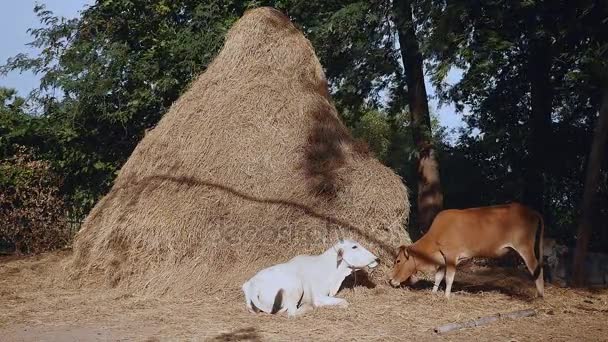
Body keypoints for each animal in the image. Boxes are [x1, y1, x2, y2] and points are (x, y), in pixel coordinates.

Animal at [242, 239, 380, 316]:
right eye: (354, 247)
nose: (377, 259)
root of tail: (252, 286)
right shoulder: (318, 297)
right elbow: (344, 302)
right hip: (296, 285)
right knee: (292, 313)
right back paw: (307, 307)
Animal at [390, 203, 548, 296]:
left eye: (398, 261)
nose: (391, 281)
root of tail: (531, 211)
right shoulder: (442, 259)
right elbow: (438, 276)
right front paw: (434, 293)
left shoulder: (451, 256)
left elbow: (449, 278)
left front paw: (446, 296)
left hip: (525, 247)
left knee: (536, 267)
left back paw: (540, 295)